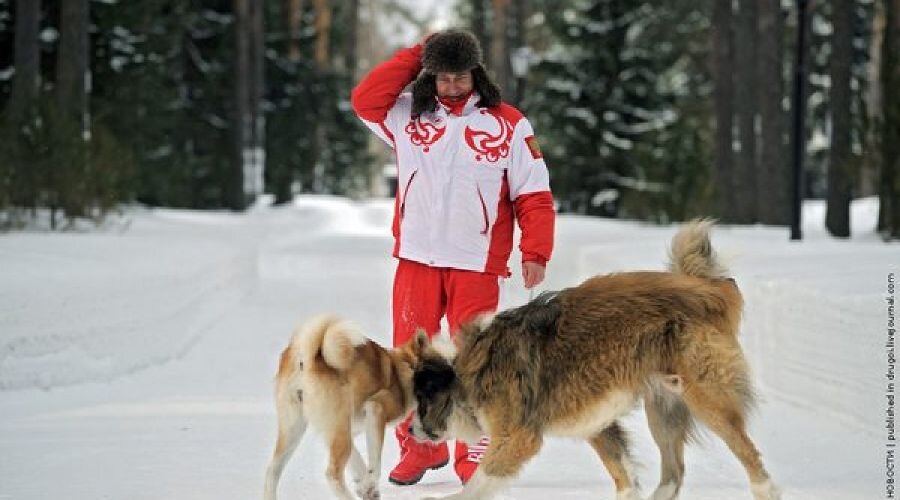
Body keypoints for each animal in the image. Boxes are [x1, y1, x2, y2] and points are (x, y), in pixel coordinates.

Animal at [264, 316, 428, 500]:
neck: (406, 367)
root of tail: (306, 357)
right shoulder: (376, 410)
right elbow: (375, 463)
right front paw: (368, 484)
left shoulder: (346, 430)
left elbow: (357, 461)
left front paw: (365, 486)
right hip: (337, 427)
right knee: (332, 473)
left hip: (296, 429)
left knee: (272, 470)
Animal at [408, 221, 780, 500]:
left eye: (422, 402)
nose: (411, 430)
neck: (464, 370)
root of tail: (709, 290)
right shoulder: (598, 425)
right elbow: (624, 475)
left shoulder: (518, 436)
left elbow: (481, 480)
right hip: (663, 408)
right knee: (674, 474)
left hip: (705, 397)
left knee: (749, 454)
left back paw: (766, 490)